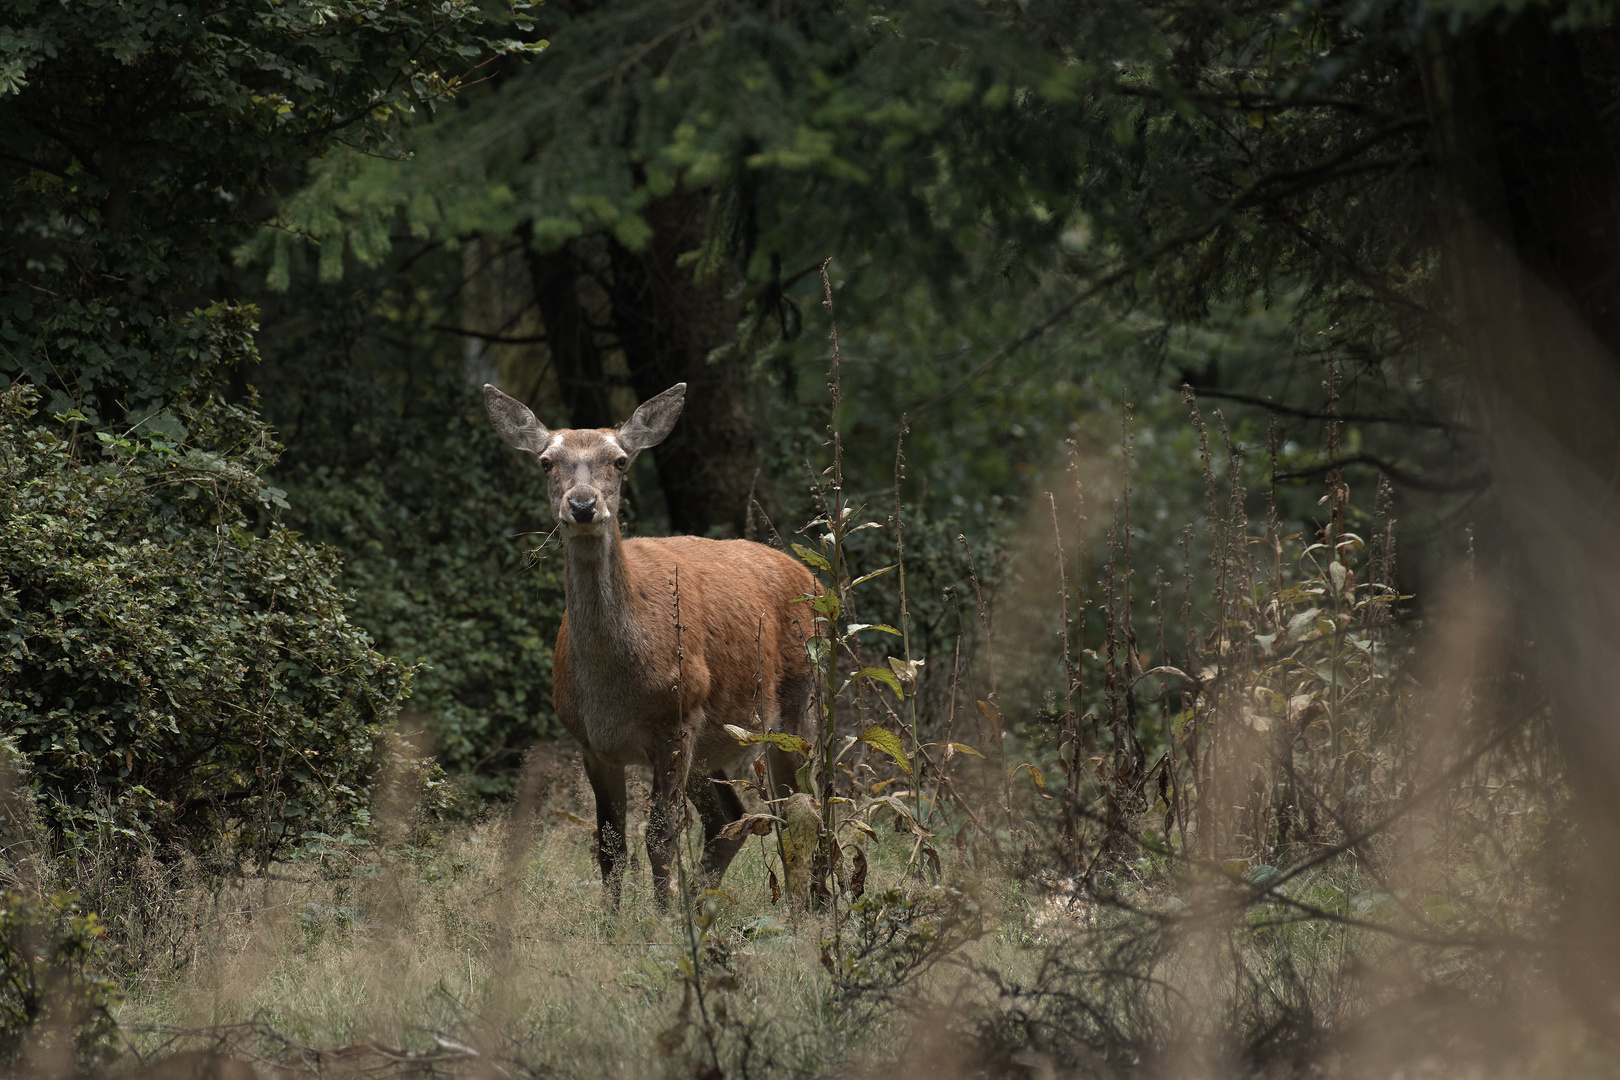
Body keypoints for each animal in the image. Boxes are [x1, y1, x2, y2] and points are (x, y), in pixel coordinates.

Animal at [476, 380, 810, 906]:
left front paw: (664, 917)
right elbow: (610, 846)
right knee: (732, 817)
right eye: (546, 461)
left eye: (620, 461)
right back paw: (706, 902)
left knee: (800, 809)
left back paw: (808, 909)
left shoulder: (675, 722)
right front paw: (618, 923)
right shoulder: (590, 742)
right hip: (712, 742)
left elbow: (659, 835)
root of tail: (813, 578)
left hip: (795, 700)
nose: (583, 505)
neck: (613, 691)